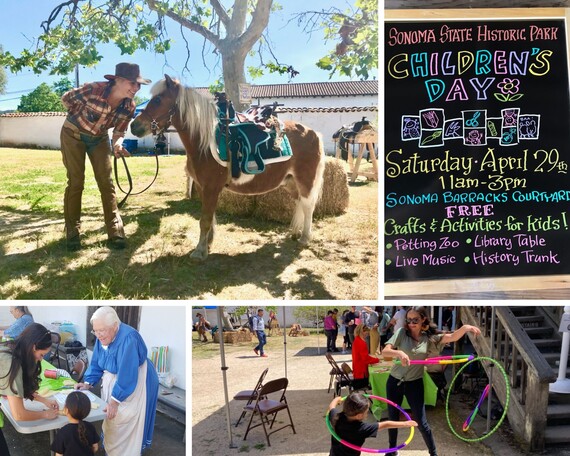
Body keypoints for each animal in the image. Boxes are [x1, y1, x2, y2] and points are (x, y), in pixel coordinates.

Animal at [130, 75, 324, 260]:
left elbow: (205, 219)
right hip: (290, 182)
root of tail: (313, 133)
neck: (204, 143)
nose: (134, 126)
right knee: (299, 203)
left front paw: (199, 251)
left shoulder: (211, 188)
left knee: (308, 205)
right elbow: (210, 218)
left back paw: (304, 238)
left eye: (158, 99)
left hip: (305, 180)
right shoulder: (203, 187)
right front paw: (208, 243)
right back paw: (295, 232)